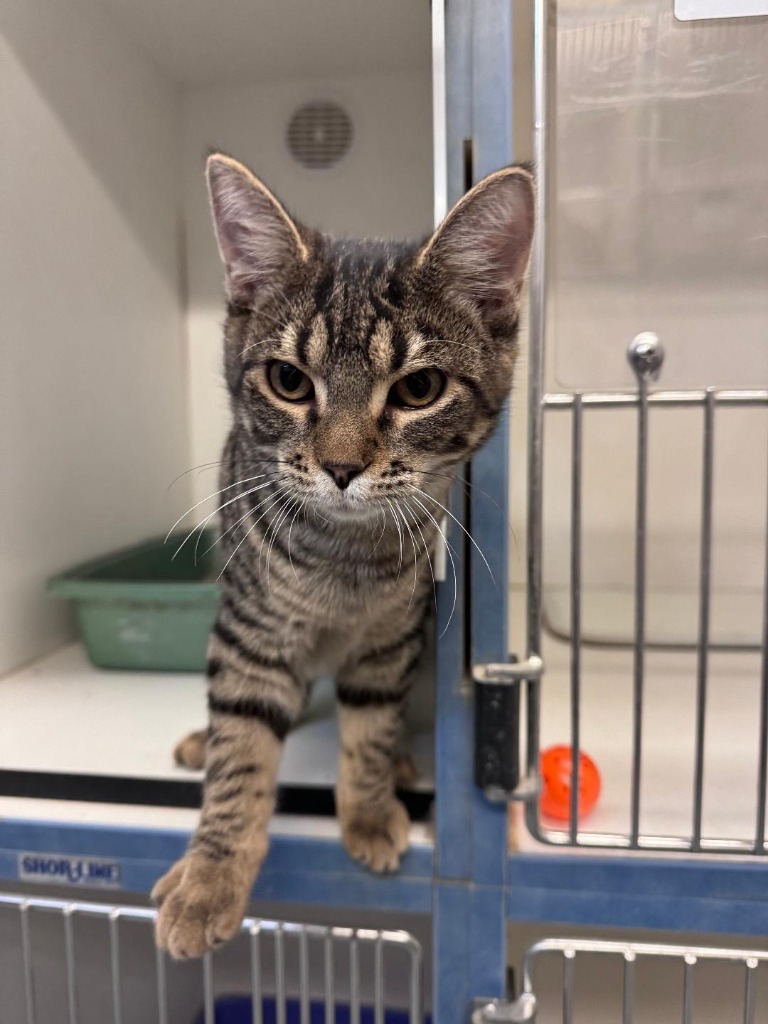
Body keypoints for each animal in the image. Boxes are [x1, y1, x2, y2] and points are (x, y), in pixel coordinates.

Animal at [150, 153, 536, 958]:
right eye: (289, 381)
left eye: (419, 388)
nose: (341, 465)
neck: (343, 561)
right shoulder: (251, 629)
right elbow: (242, 749)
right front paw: (211, 874)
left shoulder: (392, 639)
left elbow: (370, 727)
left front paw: (367, 807)